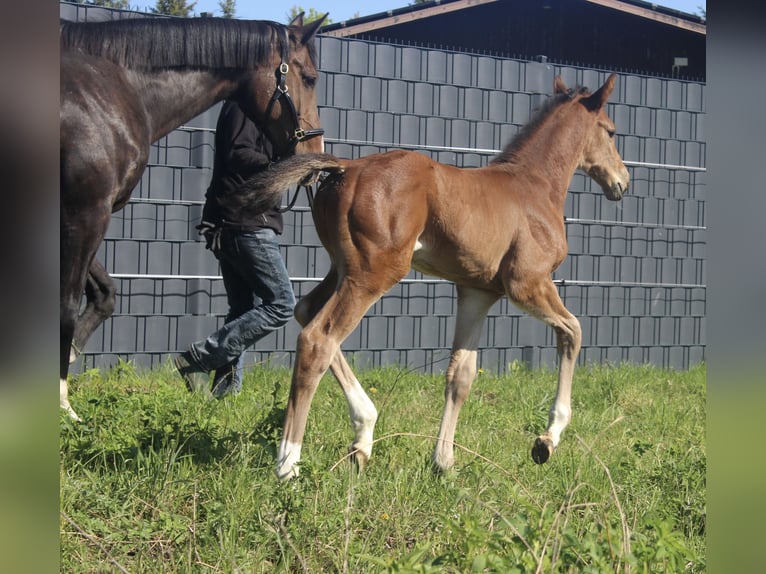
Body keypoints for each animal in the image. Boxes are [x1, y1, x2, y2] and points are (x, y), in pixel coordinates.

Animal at [60, 14, 326, 421]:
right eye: (309, 77)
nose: (316, 149)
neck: (112, 87)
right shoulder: (86, 213)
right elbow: (67, 304)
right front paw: (62, 405)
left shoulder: (82, 216)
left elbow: (104, 294)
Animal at [236, 73, 630, 479]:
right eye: (611, 131)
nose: (622, 180)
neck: (534, 188)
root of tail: (346, 167)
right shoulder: (527, 284)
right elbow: (573, 332)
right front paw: (547, 439)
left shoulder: (477, 291)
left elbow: (460, 375)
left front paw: (443, 461)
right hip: (373, 273)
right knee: (318, 339)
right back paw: (289, 464)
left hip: (342, 267)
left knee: (306, 311)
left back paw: (363, 435)